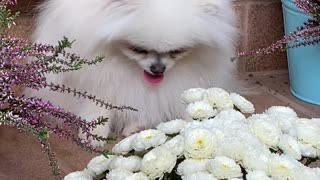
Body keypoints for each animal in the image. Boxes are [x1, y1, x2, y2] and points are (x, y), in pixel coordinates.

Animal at [27, 0, 242, 148]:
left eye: (178, 51)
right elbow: (96, 103)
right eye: (138, 49)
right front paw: (94, 131)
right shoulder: (97, 73)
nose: (158, 69)